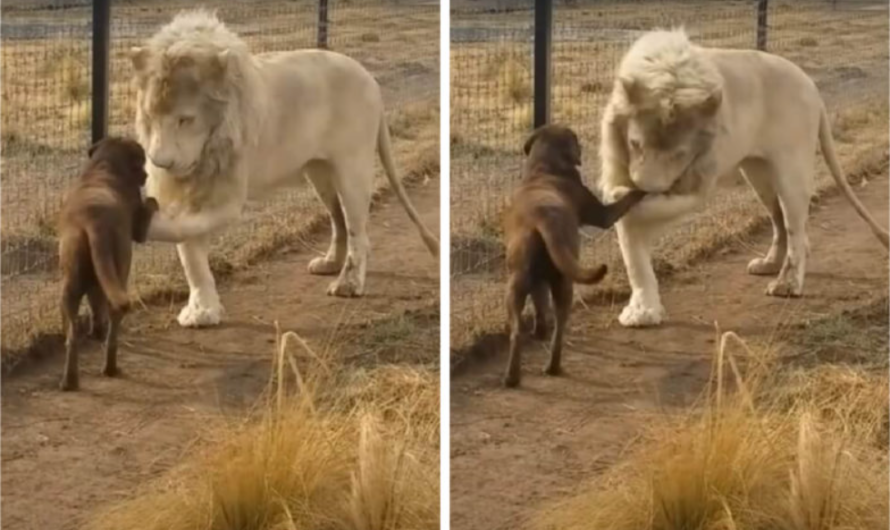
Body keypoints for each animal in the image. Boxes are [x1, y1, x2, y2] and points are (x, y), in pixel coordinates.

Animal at [57, 136, 158, 390]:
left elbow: (95, 304)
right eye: (141, 161)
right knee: (114, 324)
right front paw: (153, 200)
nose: (146, 176)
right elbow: (148, 207)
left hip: (70, 285)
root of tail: (93, 222)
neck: (104, 167)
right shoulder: (138, 227)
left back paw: (69, 380)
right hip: (120, 274)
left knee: (72, 337)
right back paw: (111, 368)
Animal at [129, 10, 438, 326]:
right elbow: (190, 253)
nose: (161, 162)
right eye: (150, 116)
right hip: (319, 173)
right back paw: (330, 263)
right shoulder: (190, 187)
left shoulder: (228, 195)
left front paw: (145, 220)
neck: (208, 148)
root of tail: (369, 78)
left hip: (353, 168)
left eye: (185, 119)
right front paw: (203, 311)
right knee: (338, 220)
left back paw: (348, 284)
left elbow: (186, 228)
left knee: (357, 230)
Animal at [502, 125, 640, 388]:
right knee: (560, 327)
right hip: (564, 282)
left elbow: (540, 305)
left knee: (517, 330)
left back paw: (512, 376)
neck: (544, 168)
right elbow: (627, 200)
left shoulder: (538, 281)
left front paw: (539, 331)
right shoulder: (603, 214)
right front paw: (641, 190)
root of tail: (542, 218)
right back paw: (553, 367)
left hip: (517, 282)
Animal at [596, 29, 888, 326]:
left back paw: (788, 283)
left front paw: (621, 200)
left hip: (791, 173)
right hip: (758, 175)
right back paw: (770, 264)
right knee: (779, 221)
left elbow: (640, 216)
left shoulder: (698, 181)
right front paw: (642, 311)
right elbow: (633, 253)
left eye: (680, 154)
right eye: (635, 144)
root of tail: (811, 86)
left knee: (794, 226)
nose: (642, 187)